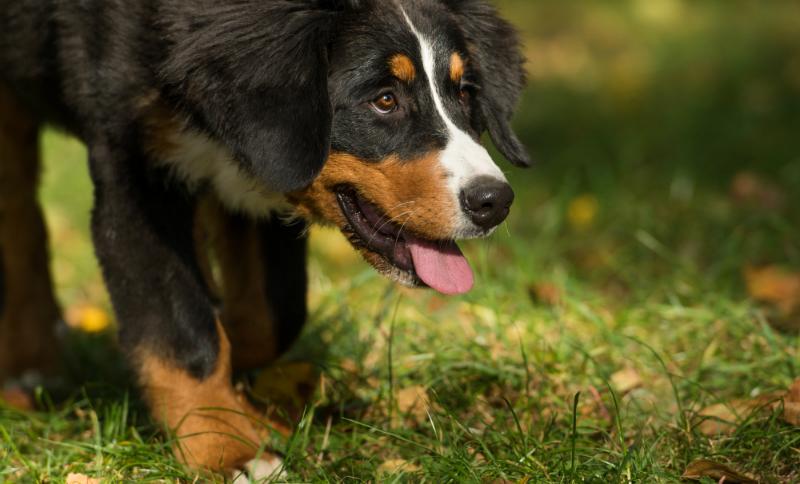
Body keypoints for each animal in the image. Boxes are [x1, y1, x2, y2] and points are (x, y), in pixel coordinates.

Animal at [0, 0, 532, 478]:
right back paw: (29, 375)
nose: (495, 201)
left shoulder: (264, 166)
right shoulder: (134, 171)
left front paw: (246, 406)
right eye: (384, 100)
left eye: (464, 92)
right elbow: (182, 331)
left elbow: (272, 313)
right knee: (20, 220)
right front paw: (223, 446)